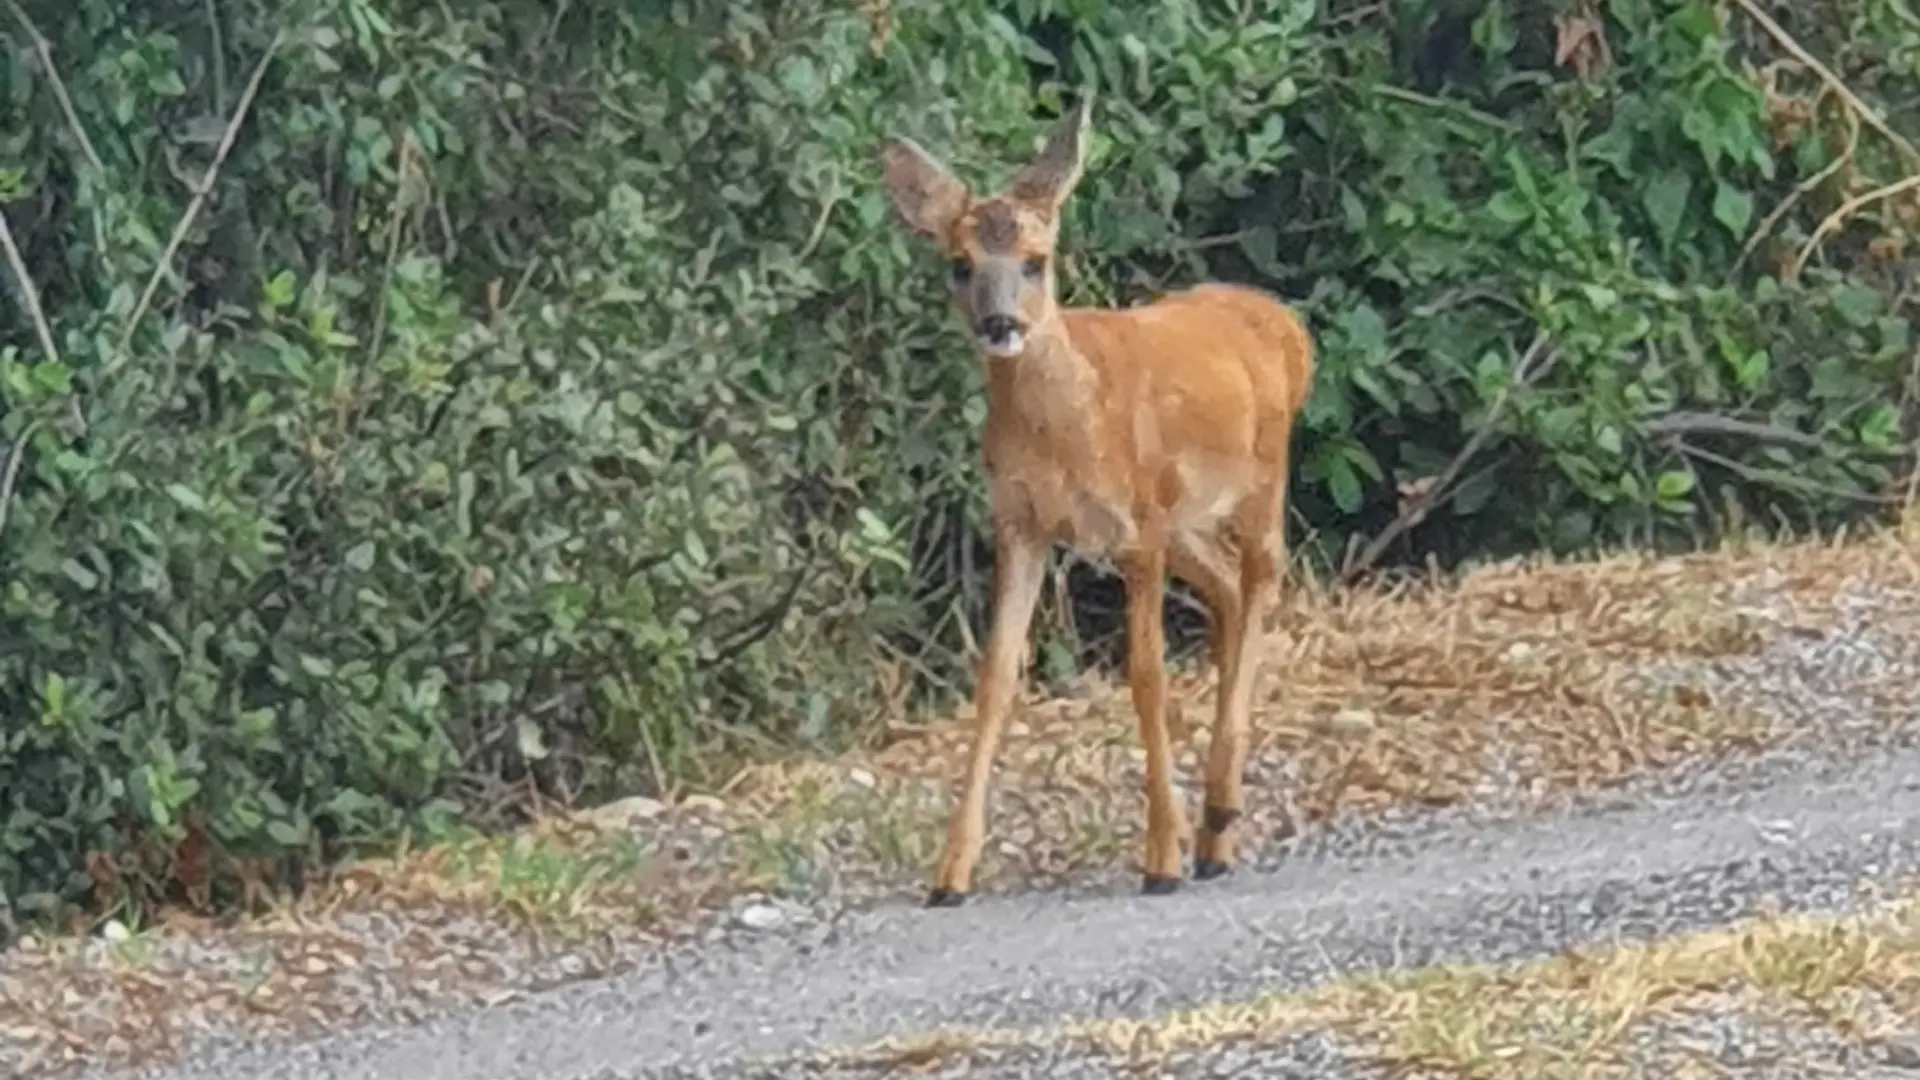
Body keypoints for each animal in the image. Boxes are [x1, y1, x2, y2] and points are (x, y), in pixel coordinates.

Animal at [883, 92, 1320, 903]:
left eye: (1035, 261)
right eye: (960, 264)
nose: (1000, 325)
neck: (1064, 430)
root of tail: (1286, 326)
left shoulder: (1135, 527)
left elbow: (1145, 675)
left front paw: (1160, 859)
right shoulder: (1021, 525)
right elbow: (996, 676)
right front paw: (951, 871)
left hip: (1258, 481)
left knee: (1263, 581)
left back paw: (1216, 811)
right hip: (1186, 521)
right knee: (1228, 591)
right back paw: (1215, 835)